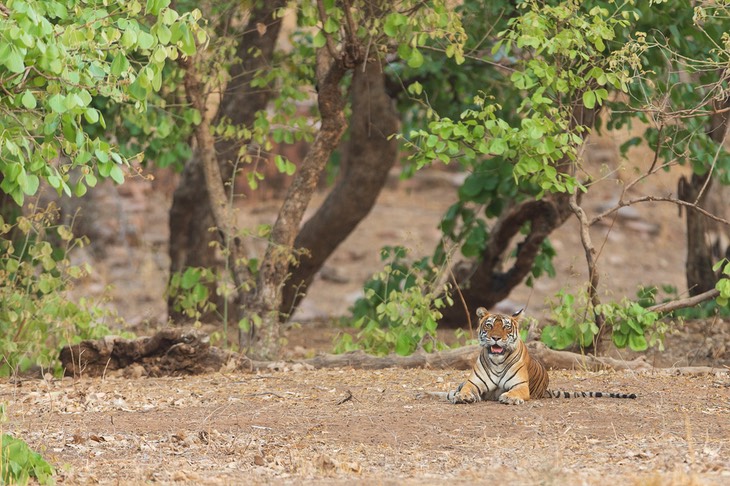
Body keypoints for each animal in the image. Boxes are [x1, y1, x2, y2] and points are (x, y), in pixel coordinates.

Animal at [418, 308, 636, 406]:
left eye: (506, 327)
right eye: (489, 325)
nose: (496, 338)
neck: (497, 361)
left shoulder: (521, 386)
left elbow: (514, 392)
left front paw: (509, 398)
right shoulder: (473, 383)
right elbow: (465, 390)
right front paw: (464, 397)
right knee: (448, 392)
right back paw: (423, 394)